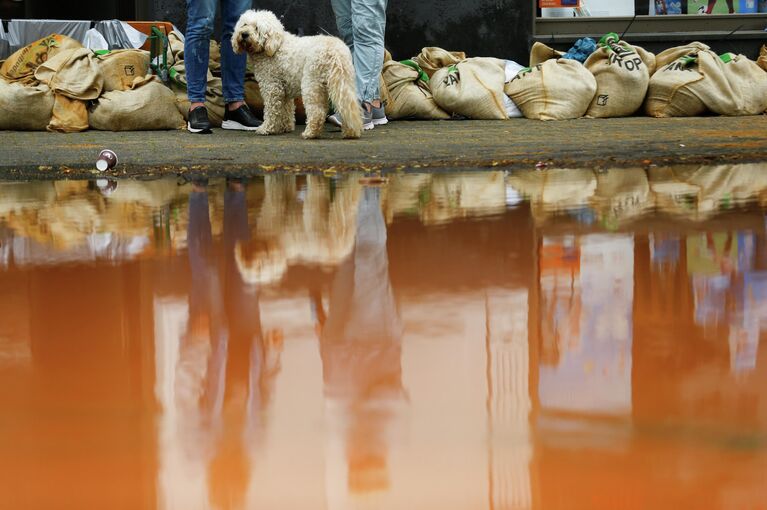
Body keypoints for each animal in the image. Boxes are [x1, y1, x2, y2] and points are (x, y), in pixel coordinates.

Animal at [231, 10, 364, 139]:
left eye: (257, 28)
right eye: (244, 24)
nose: (244, 34)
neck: (275, 46)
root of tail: (335, 51)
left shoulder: (272, 87)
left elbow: (271, 111)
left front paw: (267, 128)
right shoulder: (284, 90)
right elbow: (287, 110)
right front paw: (285, 127)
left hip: (311, 84)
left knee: (318, 112)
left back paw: (310, 133)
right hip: (343, 82)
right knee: (347, 107)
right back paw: (350, 132)